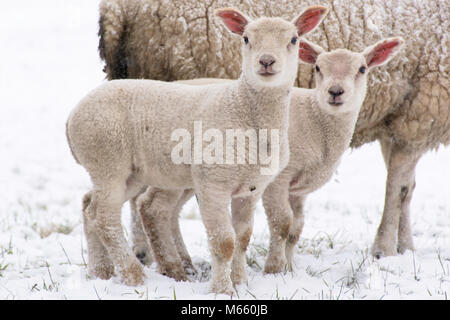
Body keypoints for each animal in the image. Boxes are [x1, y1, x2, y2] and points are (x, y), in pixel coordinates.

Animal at [99, 0, 450, 258]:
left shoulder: (400, 118)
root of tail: (117, 10)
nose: (336, 92)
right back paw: (155, 256)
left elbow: (408, 189)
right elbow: (398, 190)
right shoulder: (417, 117)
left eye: (363, 69)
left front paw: (405, 247)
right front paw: (385, 249)